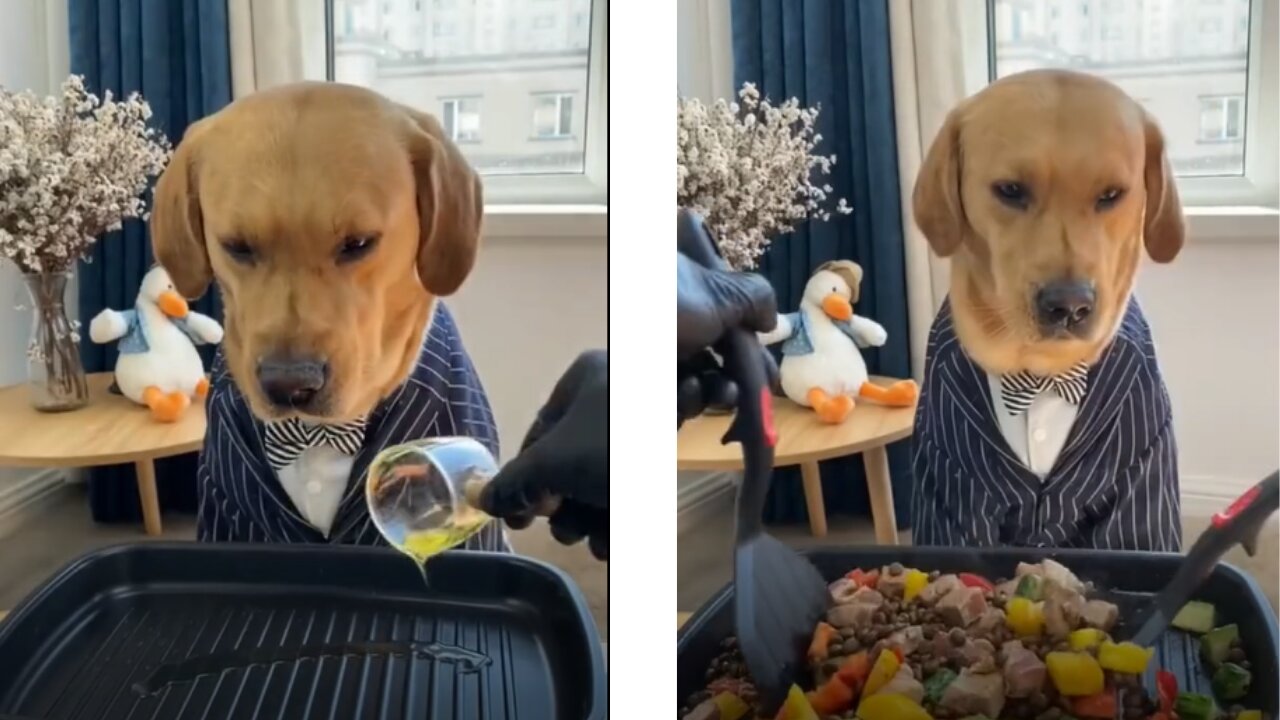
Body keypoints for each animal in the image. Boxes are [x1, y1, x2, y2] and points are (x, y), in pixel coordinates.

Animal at [906, 68, 1182, 548]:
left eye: (1112, 194)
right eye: (1010, 190)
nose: (1069, 306)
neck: (1042, 374)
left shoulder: (1141, 473)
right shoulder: (952, 478)